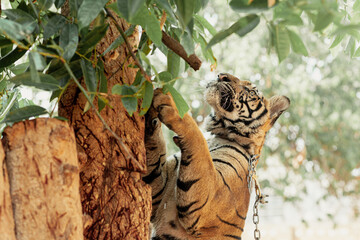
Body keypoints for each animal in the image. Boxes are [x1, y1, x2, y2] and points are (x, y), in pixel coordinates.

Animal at [143, 73, 290, 240]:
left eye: (250, 91)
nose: (222, 76)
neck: (221, 134)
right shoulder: (158, 191)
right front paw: (150, 107)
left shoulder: (211, 200)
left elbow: (198, 138)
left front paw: (170, 103)